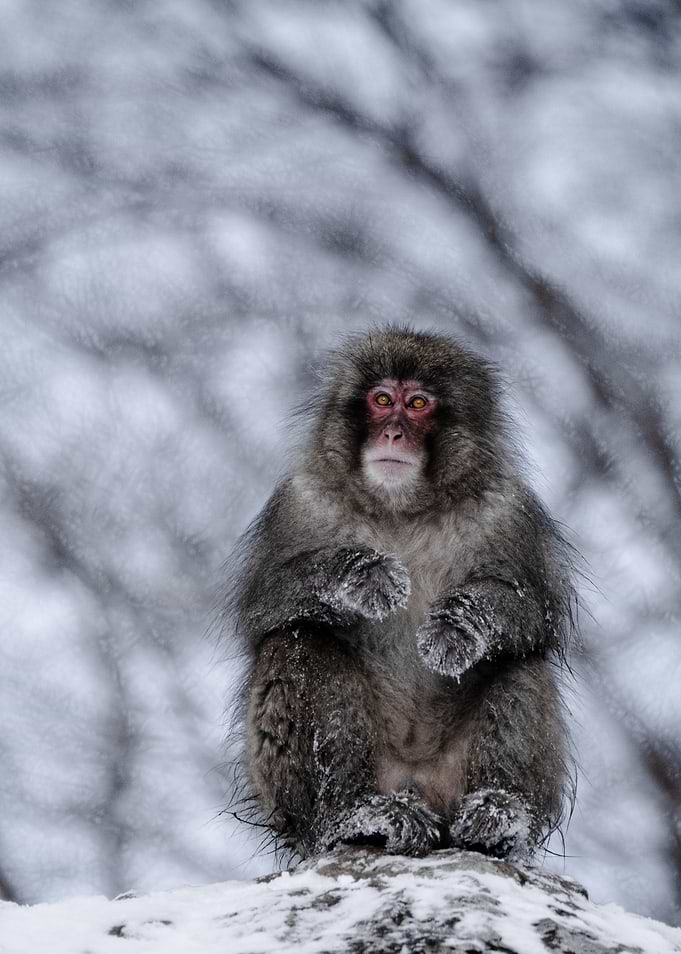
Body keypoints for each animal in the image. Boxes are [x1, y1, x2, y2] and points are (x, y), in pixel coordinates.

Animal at [226, 325, 576, 862]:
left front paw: (460, 623)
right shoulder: (300, 503)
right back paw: (355, 816)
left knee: (520, 660)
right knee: (297, 641)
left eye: (417, 403)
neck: (402, 509)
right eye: (382, 399)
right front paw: (361, 573)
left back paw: (499, 816)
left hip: (452, 782)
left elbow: (535, 613)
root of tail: (415, 784)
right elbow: (265, 606)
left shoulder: (509, 512)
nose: (392, 432)